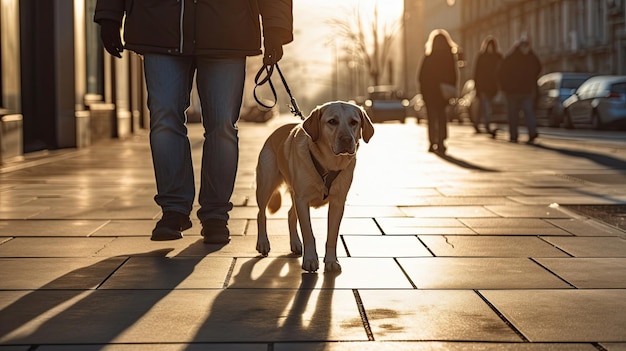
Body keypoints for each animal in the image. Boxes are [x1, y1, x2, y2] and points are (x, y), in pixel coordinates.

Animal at [255, 102, 372, 272]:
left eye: (354, 122)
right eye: (332, 121)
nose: (346, 140)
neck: (329, 163)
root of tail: (274, 133)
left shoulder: (337, 203)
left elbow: (332, 235)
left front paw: (331, 260)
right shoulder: (302, 200)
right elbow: (308, 233)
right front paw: (310, 259)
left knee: (290, 214)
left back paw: (295, 243)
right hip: (266, 185)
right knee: (261, 214)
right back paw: (263, 243)